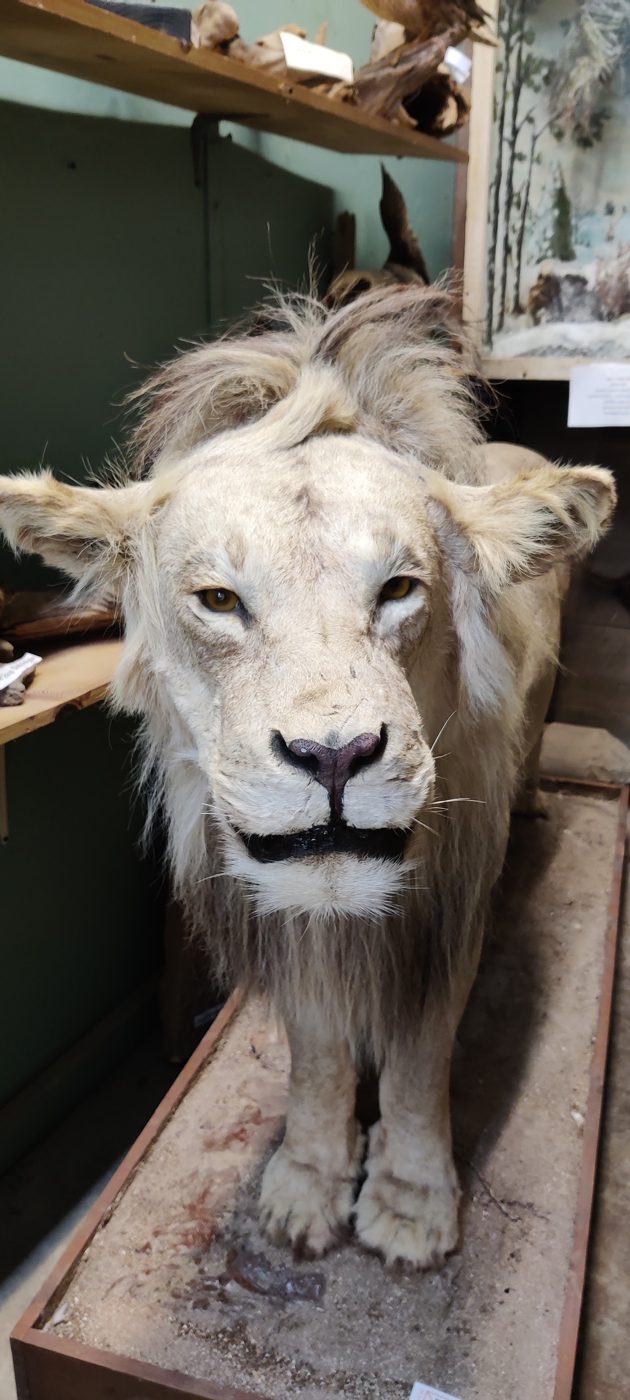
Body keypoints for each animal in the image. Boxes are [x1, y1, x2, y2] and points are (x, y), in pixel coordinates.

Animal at [0, 286, 615, 1269]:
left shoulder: (449, 909)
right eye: (219, 600)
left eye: (399, 589)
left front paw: (409, 1204)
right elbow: (320, 1050)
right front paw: (311, 1181)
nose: (335, 757)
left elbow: (418, 1058)